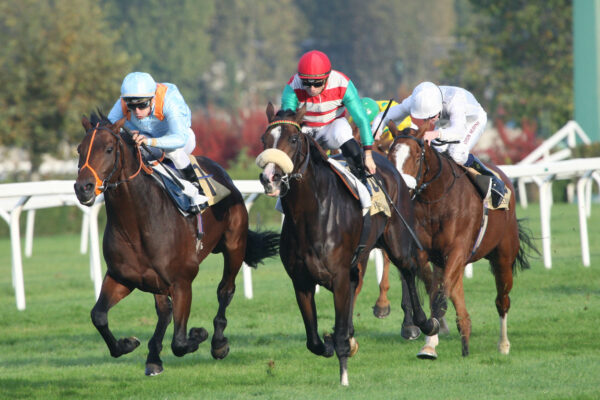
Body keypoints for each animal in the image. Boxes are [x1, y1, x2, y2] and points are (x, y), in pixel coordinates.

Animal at [74, 111, 278, 376]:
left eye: (109, 149)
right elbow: (98, 315)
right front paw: (128, 343)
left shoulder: (182, 281)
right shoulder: (122, 277)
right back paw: (153, 356)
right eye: (79, 149)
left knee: (225, 290)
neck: (137, 223)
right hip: (154, 280)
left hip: (234, 244)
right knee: (164, 310)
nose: (83, 188)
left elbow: (180, 342)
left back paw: (218, 343)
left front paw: (199, 334)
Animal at [255, 104, 438, 386]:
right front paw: (333, 343)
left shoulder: (338, 276)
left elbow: (340, 329)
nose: (269, 177)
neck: (310, 214)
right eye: (265, 140)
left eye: (294, 139)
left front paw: (343, 376)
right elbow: (314, 341)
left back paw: (422, 323)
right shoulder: (301, 281)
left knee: (408, 270)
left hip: (396, 239)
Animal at [386, 123, 536, 358]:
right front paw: (429, 340)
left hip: (503, 257)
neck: (435, 201)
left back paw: (503, 344)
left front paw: (431, 337)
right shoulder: (427, 253)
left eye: (417, 157)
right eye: (390, 156)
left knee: (502, 300)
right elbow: (433, 292)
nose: (400, 190)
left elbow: (440, 297)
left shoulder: (457, 250)